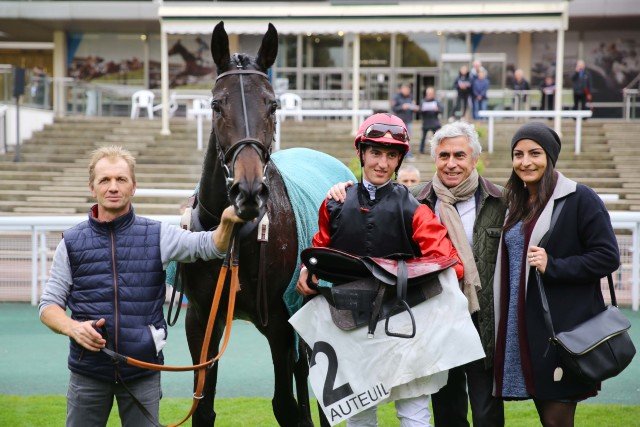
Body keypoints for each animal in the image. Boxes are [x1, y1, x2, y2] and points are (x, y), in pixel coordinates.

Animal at [180, 22, 315, 427]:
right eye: (216, 104)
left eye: (273, 105)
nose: (249, 190)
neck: (238, 234)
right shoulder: (201, 319)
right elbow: (202, 406)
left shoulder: (280, 322)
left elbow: (285, 405)